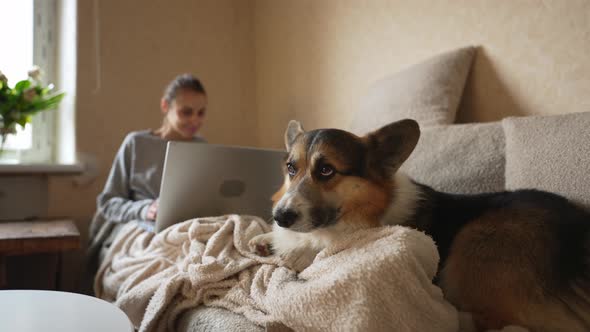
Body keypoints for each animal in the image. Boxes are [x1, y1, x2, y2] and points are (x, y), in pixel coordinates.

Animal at [250, 118, 590, 330]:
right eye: (291, 168)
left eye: (326, 170)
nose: (281, 216)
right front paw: (266, 239)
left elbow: (320, 248)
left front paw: (295, 253)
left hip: (470, 248)